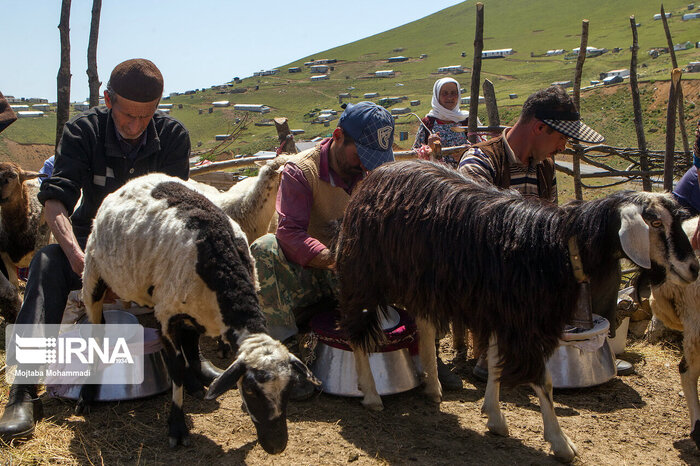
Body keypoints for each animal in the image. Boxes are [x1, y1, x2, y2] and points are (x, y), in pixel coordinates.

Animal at [81, 173, 320, 454]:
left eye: (289, 388)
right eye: (250, 391)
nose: (276, 446)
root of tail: (135, 179)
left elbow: (190, 351)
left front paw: (193, 386)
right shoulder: (166, 317)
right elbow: (174, 368)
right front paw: (177, 428)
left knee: (190, 342)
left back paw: (194, 384)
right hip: (93, 276)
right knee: (96, 333)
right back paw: (86, 396)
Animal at [336, 161, 696, 462]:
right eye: (654, 222)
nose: (693, 268)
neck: (557, 246)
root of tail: (379, 172)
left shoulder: (504, 314)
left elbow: (496, 363)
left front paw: (494, 415)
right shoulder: (524, 324)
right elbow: (544, 382)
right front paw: (561, 443)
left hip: (421, 283)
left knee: (423, 325)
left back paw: (433, 387)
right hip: (363, 272)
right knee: (356, 329)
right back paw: (372, 394)